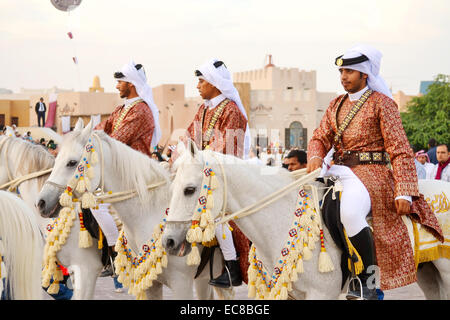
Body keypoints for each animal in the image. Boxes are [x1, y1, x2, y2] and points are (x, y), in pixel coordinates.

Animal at [37, 120, 234, 300]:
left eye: (72, 162)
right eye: (56, 159)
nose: (41, 202)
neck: (148, 215)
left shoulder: (181, 283)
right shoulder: (150, 283)